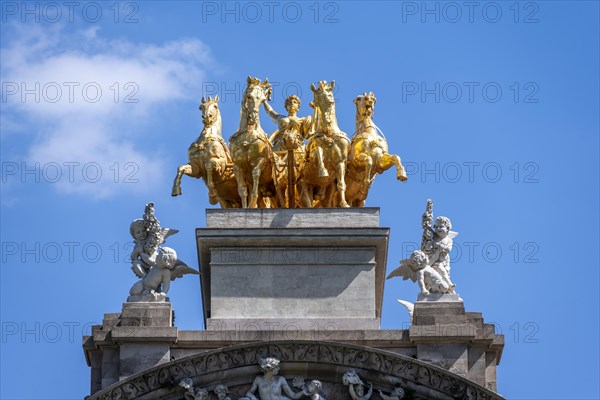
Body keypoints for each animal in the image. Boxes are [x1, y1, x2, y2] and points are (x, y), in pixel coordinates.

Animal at [229, 77, 278, 209]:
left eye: (262, 100)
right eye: (249, 96)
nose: (252, 117)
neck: (248, 134)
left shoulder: (261, 160)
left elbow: (256, 174)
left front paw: (252, 202)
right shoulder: (237, 166)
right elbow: (242, 190)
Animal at [300, 80, 352, 208]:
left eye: (330, 96)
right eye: (316, 98)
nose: (325, 120)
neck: (329, 134)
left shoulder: (341, 162)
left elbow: (341, 184)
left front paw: (344, 204)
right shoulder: (313, 157)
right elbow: (318, 151)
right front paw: (323, 171)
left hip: (328, 192)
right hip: (304, 186)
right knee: (306, 201)